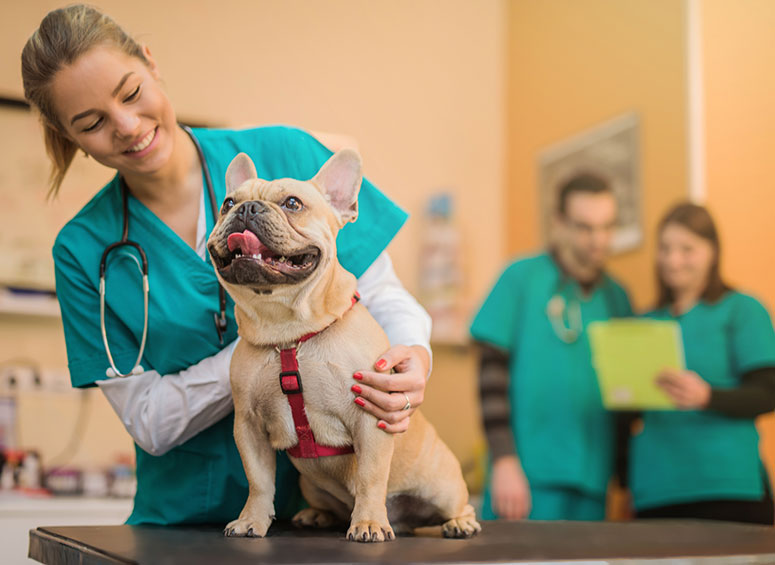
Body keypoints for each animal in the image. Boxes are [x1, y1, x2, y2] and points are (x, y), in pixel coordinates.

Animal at [209, 150, 482, 540]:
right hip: (310, 484)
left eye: (292, 203)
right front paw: (251, 520)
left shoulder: (371, 418)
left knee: (459, 503)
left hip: (443, 487)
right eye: (227, 204)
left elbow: (370, 477)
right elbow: (258, 481)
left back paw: (459, 522)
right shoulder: (248, 426)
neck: (289, 332)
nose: (247, 209)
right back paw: (317, 515)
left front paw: (368, 523)